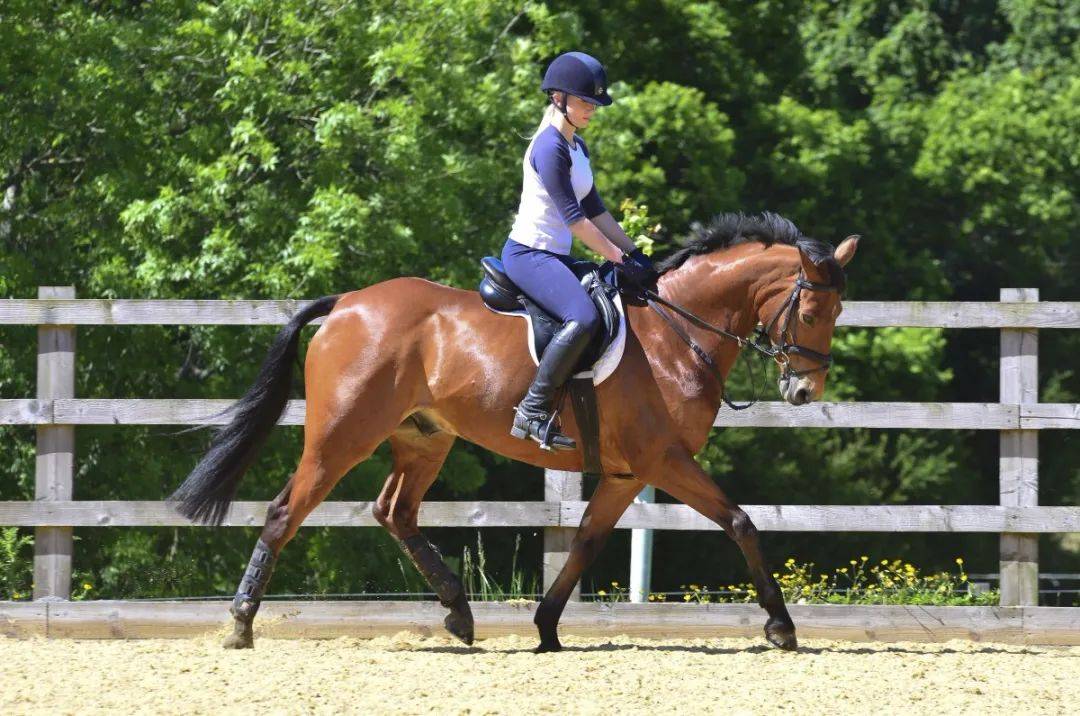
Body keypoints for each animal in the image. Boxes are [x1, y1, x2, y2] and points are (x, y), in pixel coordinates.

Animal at [168, 211, 858, 653]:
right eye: (812, 308)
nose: (805, 392)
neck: (676, 331)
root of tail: (346, 304)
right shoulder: (662, 460)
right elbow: (741, 522)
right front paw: (782, 627)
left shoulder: (625, 473)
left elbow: (584, 542)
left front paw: (547, 628)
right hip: (344, 435)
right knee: (287, 511)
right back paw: (241, 624)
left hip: (425, 437)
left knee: (395, 512)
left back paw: (459, 614)